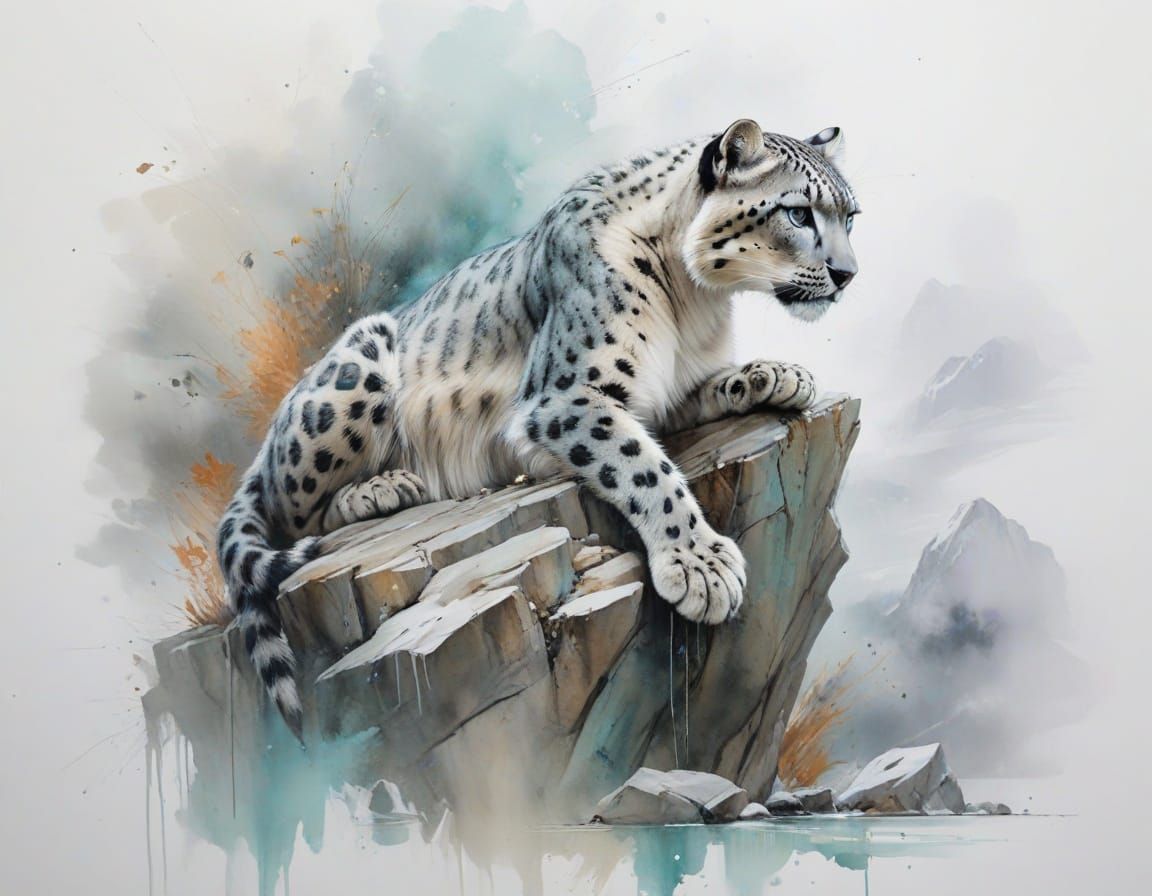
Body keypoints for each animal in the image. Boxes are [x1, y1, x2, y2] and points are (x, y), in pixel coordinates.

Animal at [216, 118, 860, 736]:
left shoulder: (666, 393)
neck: (695, 299)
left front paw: (777, 374)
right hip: (356, 370)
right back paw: (380, 488)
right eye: (799, 212)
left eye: (850, 216)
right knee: (293, 512)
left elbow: (706, 389)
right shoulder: (565, 398)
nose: (848, 273)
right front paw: (700, 566)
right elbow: (644, 467)